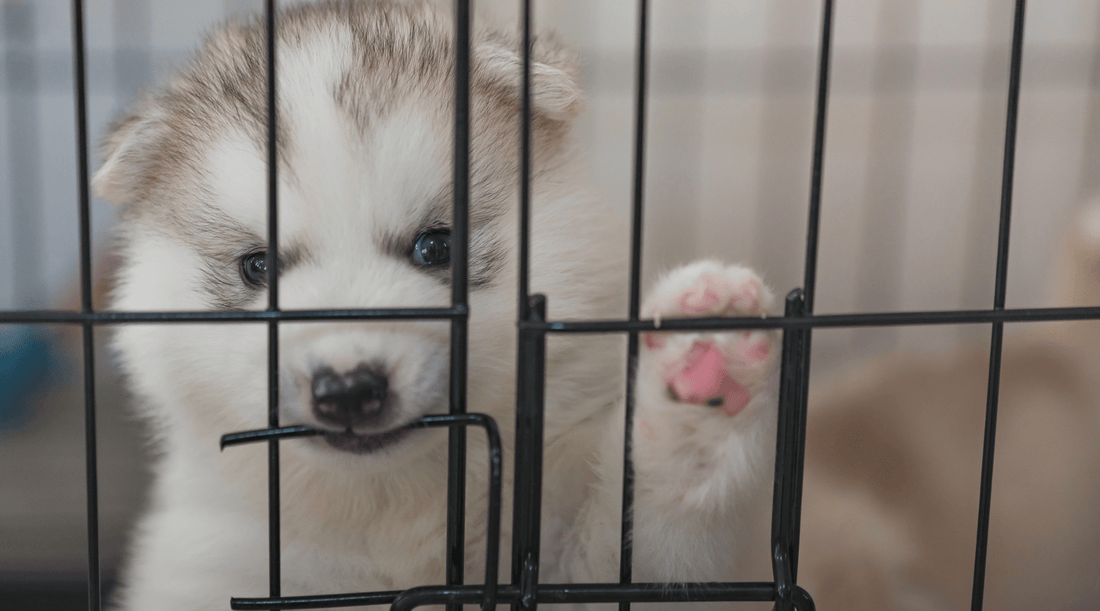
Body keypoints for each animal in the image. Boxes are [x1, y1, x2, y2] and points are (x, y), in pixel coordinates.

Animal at [96, 2, 783, 607]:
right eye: (258, 267)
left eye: (435, 247)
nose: (348, 389)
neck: (391, 512)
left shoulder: (571, 564)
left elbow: (647, 540)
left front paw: (703, 369)